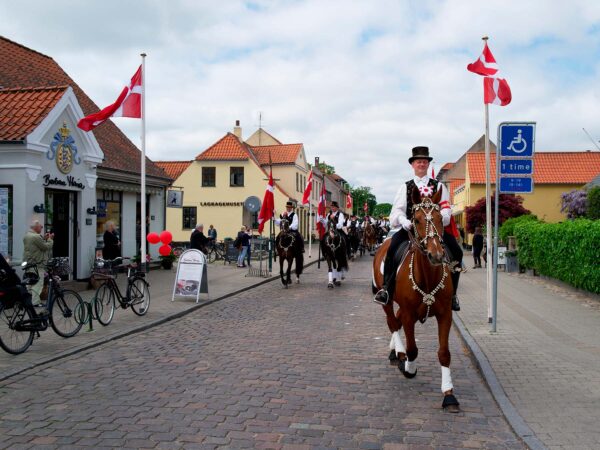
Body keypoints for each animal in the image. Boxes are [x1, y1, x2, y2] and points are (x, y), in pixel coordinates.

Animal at [370, 186, 460, 412]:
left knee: (396, 320)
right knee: (393, 322)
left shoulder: (445, 315)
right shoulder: (410, 315)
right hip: (386, 301)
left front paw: (449, 395)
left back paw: (394, 351)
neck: (427, 277)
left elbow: (444, 353)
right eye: (417, 219)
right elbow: (412, 349)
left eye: (440, 218)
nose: (436, 255)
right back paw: (399, 353)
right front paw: (409, 368)